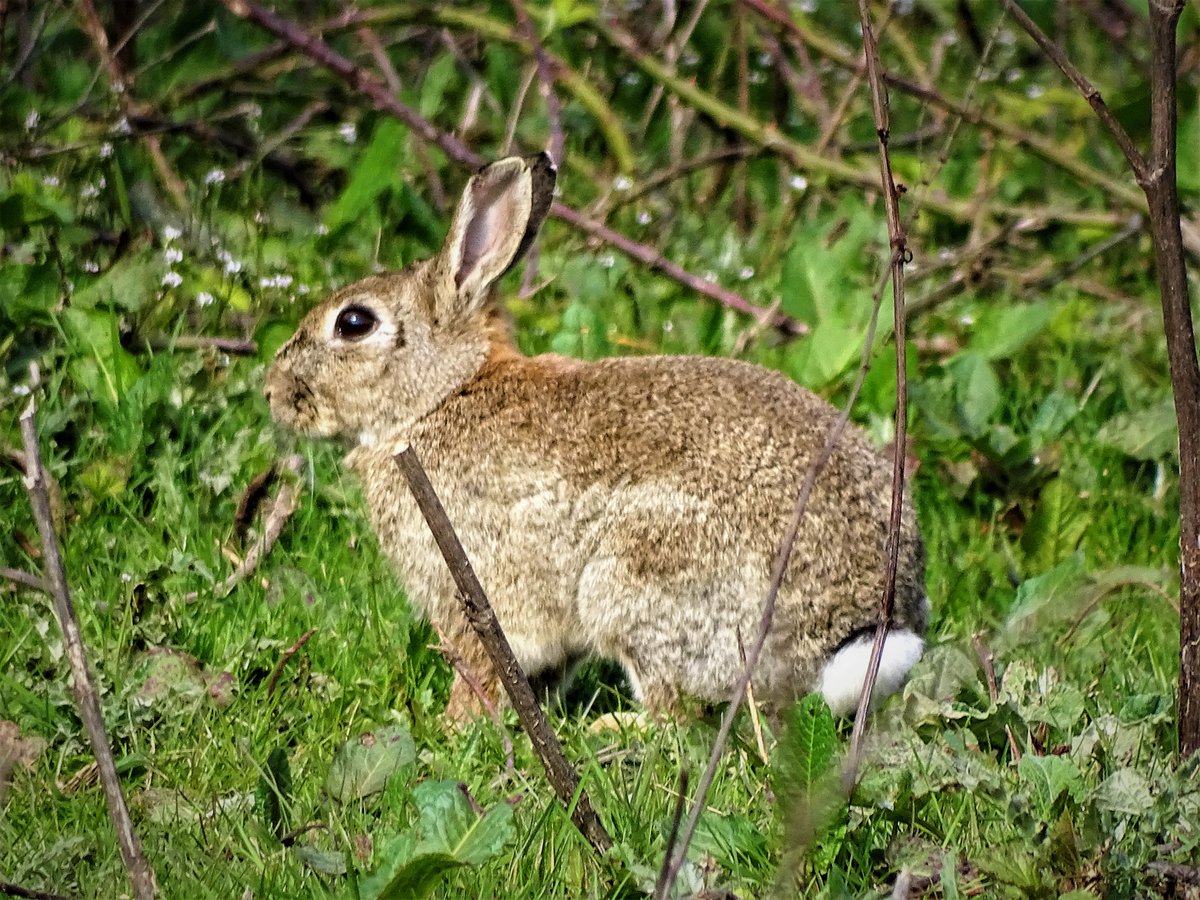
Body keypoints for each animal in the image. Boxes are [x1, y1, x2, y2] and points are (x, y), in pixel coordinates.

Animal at [270, 151, 926, 724]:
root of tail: (854, 626)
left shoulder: (475, 596)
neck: (442, 394)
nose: (274, 391)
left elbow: (483, 670)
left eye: (354, 323)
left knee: (676, 717)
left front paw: (455, 726)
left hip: (634, 582)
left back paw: (611, 729)